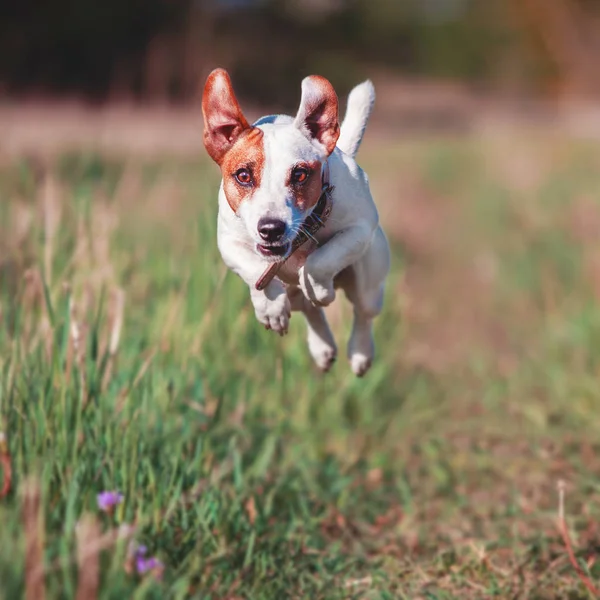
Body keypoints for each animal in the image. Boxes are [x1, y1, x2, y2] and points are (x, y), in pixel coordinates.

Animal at [202, 67, 390, 376]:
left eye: (300, 174)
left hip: (370, 284)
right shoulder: (228, 242)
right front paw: (270, 309)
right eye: (243, 175)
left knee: (363, 312)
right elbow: (255, 269)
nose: (271, 229)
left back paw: (360, 353)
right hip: (297, 294)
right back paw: (322, 348)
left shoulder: (361, 228)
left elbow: (320, 261)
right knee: (308, 308)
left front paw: (321, 288)